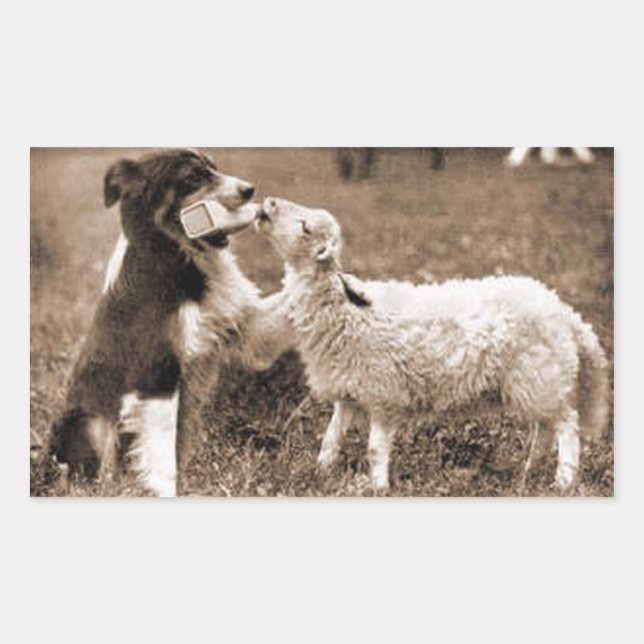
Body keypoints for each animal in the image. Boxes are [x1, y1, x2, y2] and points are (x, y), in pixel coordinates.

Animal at [255, 197, 609, 493]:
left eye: (305, 226)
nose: (268, 203)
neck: (343, 307)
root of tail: (564, 311)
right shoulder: (349, 391)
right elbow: (330, 438)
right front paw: (320, 473)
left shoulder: (383, 392)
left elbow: (374, 448)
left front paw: (378, 486)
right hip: (536, 382)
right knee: (545, 427)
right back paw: (529, 471)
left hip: (541, 377)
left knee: (567, 425)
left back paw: (563, 480)